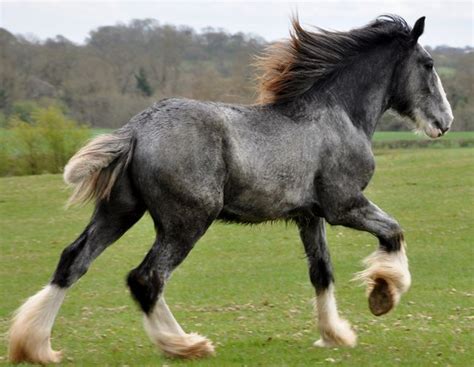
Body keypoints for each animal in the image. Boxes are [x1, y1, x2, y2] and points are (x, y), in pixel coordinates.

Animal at [7, 15, 452, 366]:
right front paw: (383, 295)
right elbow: (393, 231)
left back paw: (35, 348)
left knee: (73, 261)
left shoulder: (309, 216)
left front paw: (335, 334)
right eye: (428, 64)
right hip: (187, 221)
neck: (338, 115)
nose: (444, 123)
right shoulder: (344, 206)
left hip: (118, 212)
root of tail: (135, 129)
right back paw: (186, 345)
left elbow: (321, 271)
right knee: (147, 277)